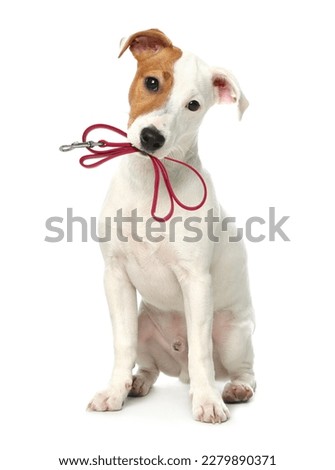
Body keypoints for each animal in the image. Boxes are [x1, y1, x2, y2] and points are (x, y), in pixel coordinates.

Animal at [88, 29, 256, 424]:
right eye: (152, 82)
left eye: (193, 105)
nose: (152, 137)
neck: (152, 179)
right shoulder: (115, 276)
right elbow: (122, 344)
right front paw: (114, 391)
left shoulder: (196, 281)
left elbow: (201, 352)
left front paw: (208, 401)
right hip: (145, 324)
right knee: (149, 365)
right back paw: (136, 383)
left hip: (233, 333)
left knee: (239, 368)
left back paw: (234, 388)